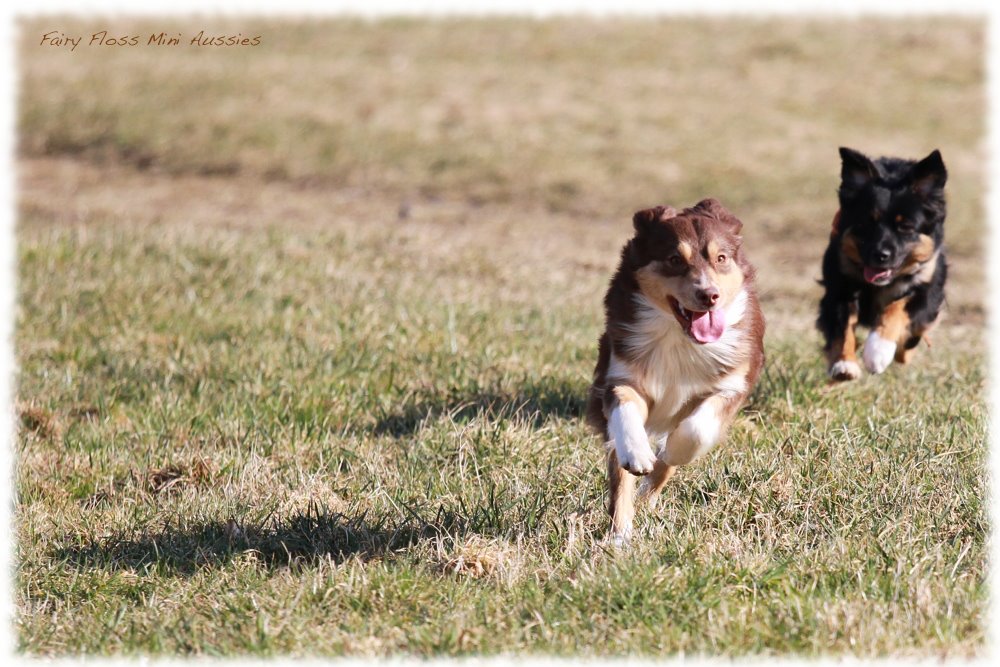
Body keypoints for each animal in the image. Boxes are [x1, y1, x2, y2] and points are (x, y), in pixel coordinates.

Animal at [584, 201, 764, 544]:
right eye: (674, 260)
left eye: (721, 258)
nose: (709, 295)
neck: (678, 338)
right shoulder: (618, 375)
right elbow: (626, 415)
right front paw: (638, 452)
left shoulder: (732, 384)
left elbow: (695, 431)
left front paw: (672, 452)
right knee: (621, 479)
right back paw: (620, 536)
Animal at [816, 151, 948, 380]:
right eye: (866, 223)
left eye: (906, 227)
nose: (880, 255)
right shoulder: (840, 288)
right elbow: (843, 327)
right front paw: (844, 364)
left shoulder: (928, 286)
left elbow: (896, 308)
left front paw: (878, 351)